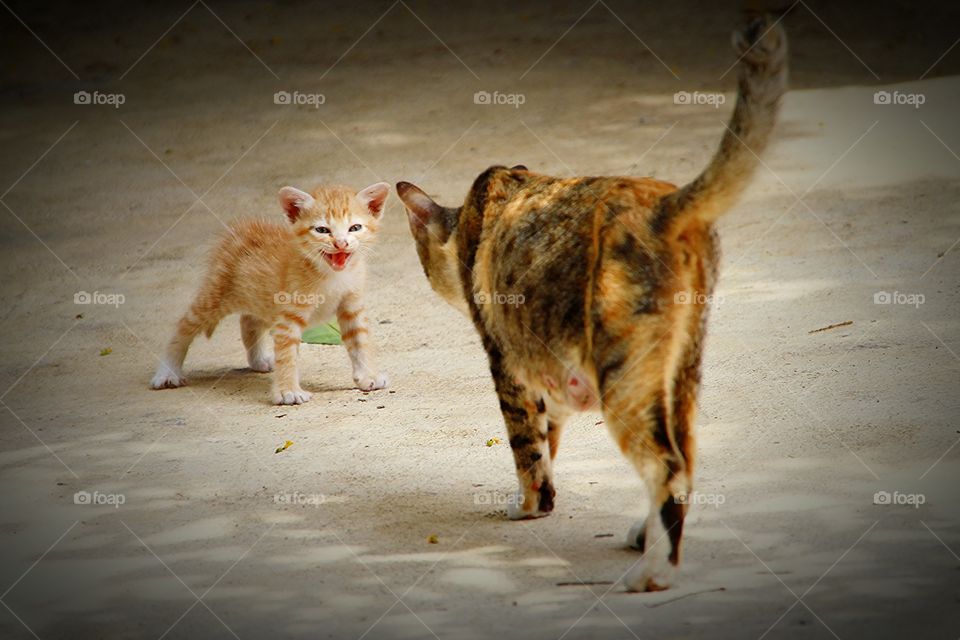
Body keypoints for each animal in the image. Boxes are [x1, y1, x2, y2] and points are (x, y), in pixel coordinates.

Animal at [151, 182, 390, 404]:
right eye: (322, 230)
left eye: (355, 227)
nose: (341, 243)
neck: (331, 274)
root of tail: (243, 227)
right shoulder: (289, 316)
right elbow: (287, 354)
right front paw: (288, 391)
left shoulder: (351, 306)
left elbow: (360, 341)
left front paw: (368, 376)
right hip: (216, 296)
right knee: (185, 325)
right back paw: (167, 372)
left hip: (262, 300)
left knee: (248, 321)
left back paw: (258, 360)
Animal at [396, 17, 788, 592]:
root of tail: (663, 203)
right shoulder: (548, 366)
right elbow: (548, 436)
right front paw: (544, 496)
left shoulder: (507, 361)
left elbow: (526, 446)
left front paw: (529, 505)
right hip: (680, 368)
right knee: (686, 458)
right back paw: (647, 537)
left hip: (622, 373)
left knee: (667, 464)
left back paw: (653, 573)